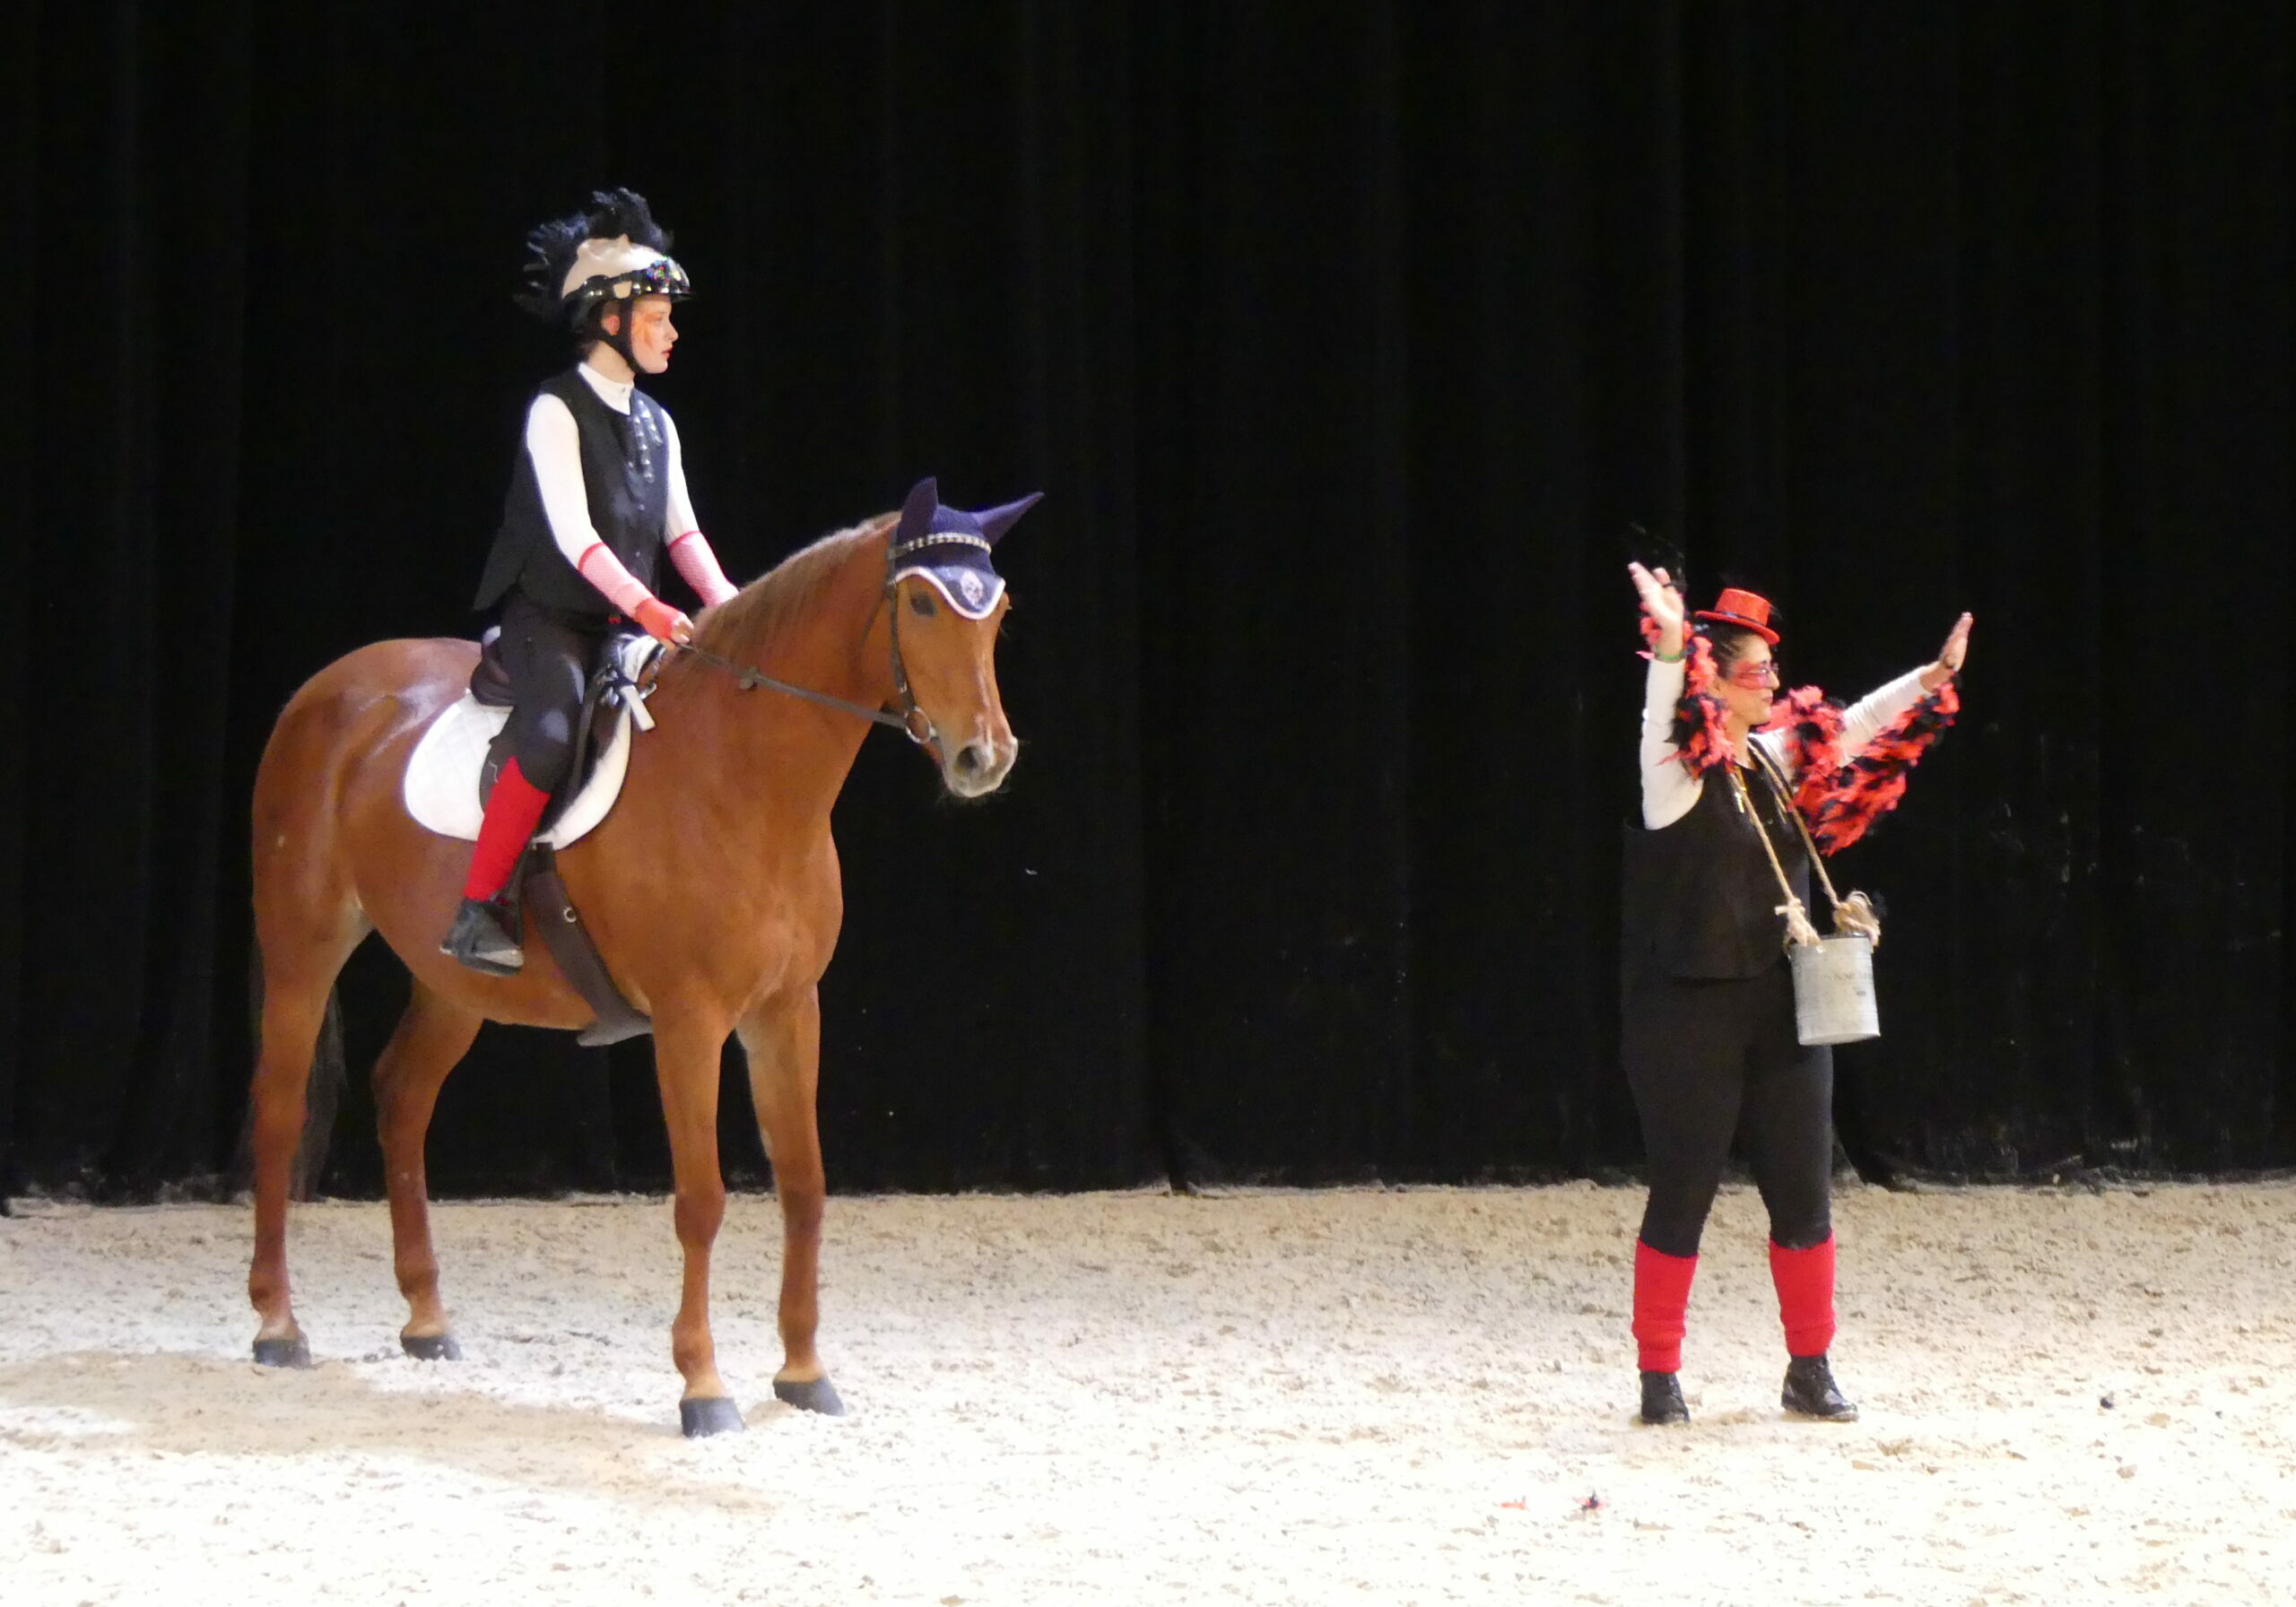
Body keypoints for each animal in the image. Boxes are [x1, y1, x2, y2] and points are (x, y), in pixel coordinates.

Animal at [242, 486, 1023, 1432]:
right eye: (920, 604)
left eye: (999, 613)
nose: (984, 757)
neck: (743, 776)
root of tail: (326, 691)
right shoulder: (689, 1024)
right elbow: (702, 1200)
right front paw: (703, 1386)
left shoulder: (788, 1011)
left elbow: (803, 1185)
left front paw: (804, 1373)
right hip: (304, 949)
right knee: (280, 1112)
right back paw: (278, 1326)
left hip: (454, 983)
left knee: (402, 1097)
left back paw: (426, 1319)